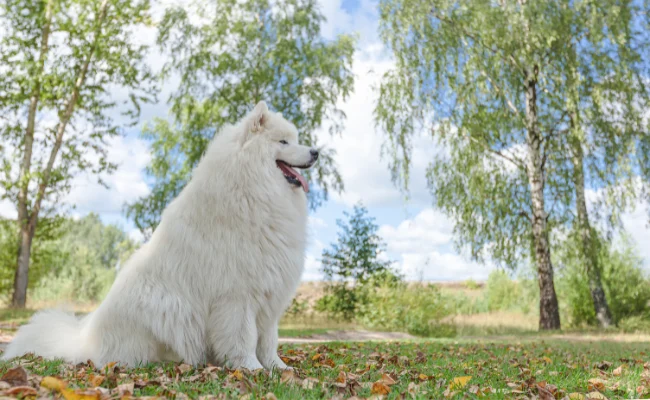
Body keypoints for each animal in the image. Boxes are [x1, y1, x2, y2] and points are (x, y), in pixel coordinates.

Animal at [2, 101, 316, 370]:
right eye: (283, 142)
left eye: (295, 139)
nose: (315, 152)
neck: (252, 189)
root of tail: (85, 342)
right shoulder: (235, 297)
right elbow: (244, 338)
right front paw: (251, 368)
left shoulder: (268, 294)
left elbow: (268, 341)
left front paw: (278, 368)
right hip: (162, 305)